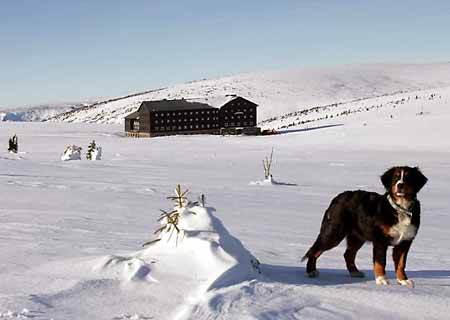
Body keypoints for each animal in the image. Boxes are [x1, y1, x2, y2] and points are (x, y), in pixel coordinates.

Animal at [300, 166, 428, 286]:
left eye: (408, 177)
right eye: (395, 178)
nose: (400, 185)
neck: (400, 208)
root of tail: (338, 197)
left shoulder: (405, 241)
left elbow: (401, 263)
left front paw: (403, 280)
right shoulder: (380, 240)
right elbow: (380, 261)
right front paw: (381, 280)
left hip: (357, 237)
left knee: (348, 254)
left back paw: (355, 272)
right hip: (333, 233)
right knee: (315, 250)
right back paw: (311, 271)